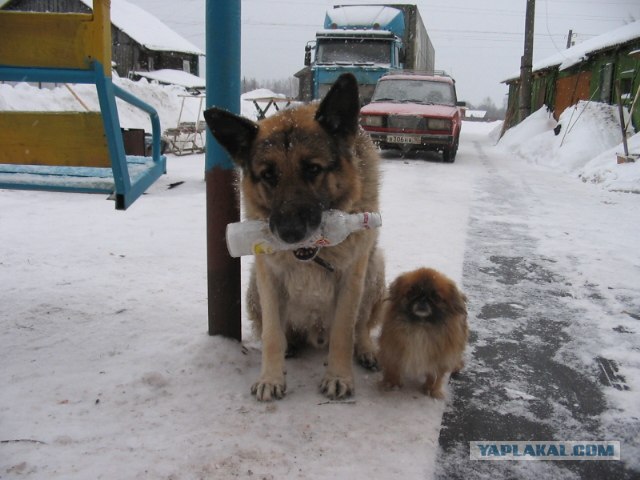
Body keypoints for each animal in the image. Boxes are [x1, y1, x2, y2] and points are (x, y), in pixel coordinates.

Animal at [205, 72, 384, 402]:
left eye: (313, 169)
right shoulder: (269, 279)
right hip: (254, 285)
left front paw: (338, 376)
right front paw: (271, 378)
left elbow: (344, 331)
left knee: (362, 325)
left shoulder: (351, 278)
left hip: (375, 269)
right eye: (268, 175)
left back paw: (365, 349)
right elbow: (273, 335)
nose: (289, 233)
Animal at [378, 268, 468, 400]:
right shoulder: (393, 350)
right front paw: (392, 384)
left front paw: (432, 390)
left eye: (436, 297)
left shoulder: (441, 358)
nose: (422, 299)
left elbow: (435, 376)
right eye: (411, 293)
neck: (421, 326)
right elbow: (393, 368)